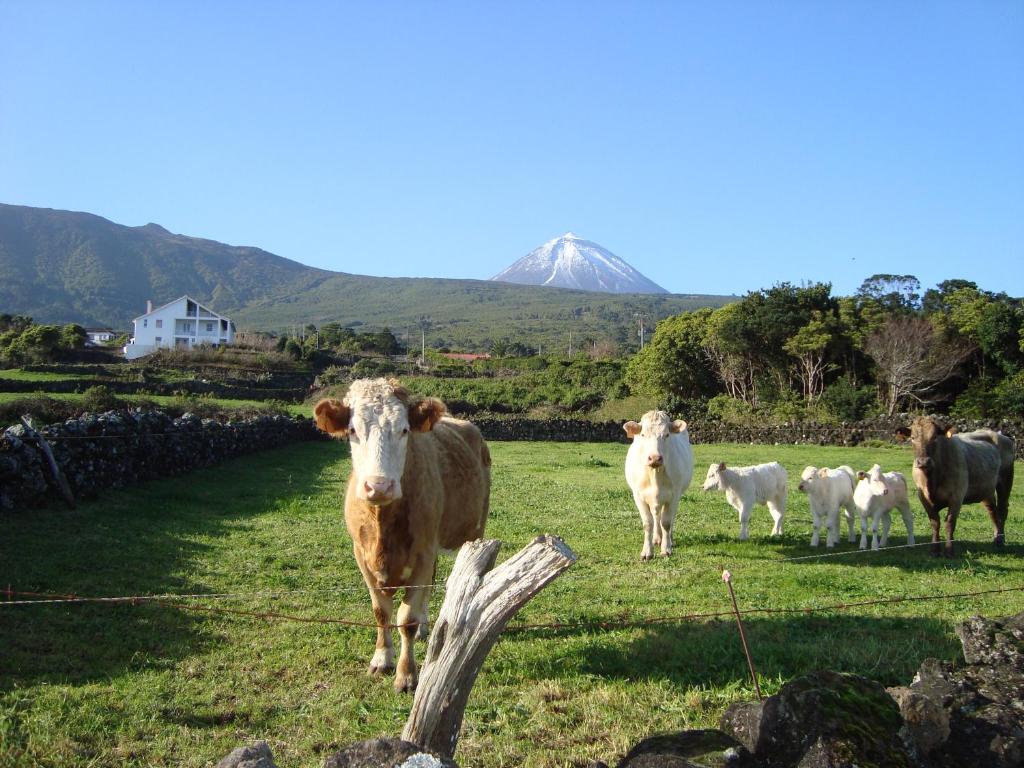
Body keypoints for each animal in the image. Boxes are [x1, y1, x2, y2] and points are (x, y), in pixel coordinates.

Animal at [622, 411, 696, 561]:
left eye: (666, 435)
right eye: (643, 434)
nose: (655, 458)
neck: (654, 474)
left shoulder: (674, 496)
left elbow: (666, 522)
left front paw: (666, 549)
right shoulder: (638, 496)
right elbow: (648, 522)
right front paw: (647, 551)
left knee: (668, 518)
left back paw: (669, 540)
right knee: (656, 515)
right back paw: (656, 538)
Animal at [909, 417, 1011, 557]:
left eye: (935, 437)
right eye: (912, 437)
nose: (923, 462)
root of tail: (999, 434)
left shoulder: (957, 496)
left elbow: (949, 523)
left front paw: (949, 551)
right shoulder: (923, 497)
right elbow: (935, 523)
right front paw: (934, 550)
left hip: (1005, 481)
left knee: (1002, 511)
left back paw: (1000, 541)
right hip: (986, 489)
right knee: (993, 511)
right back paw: (996, 539)